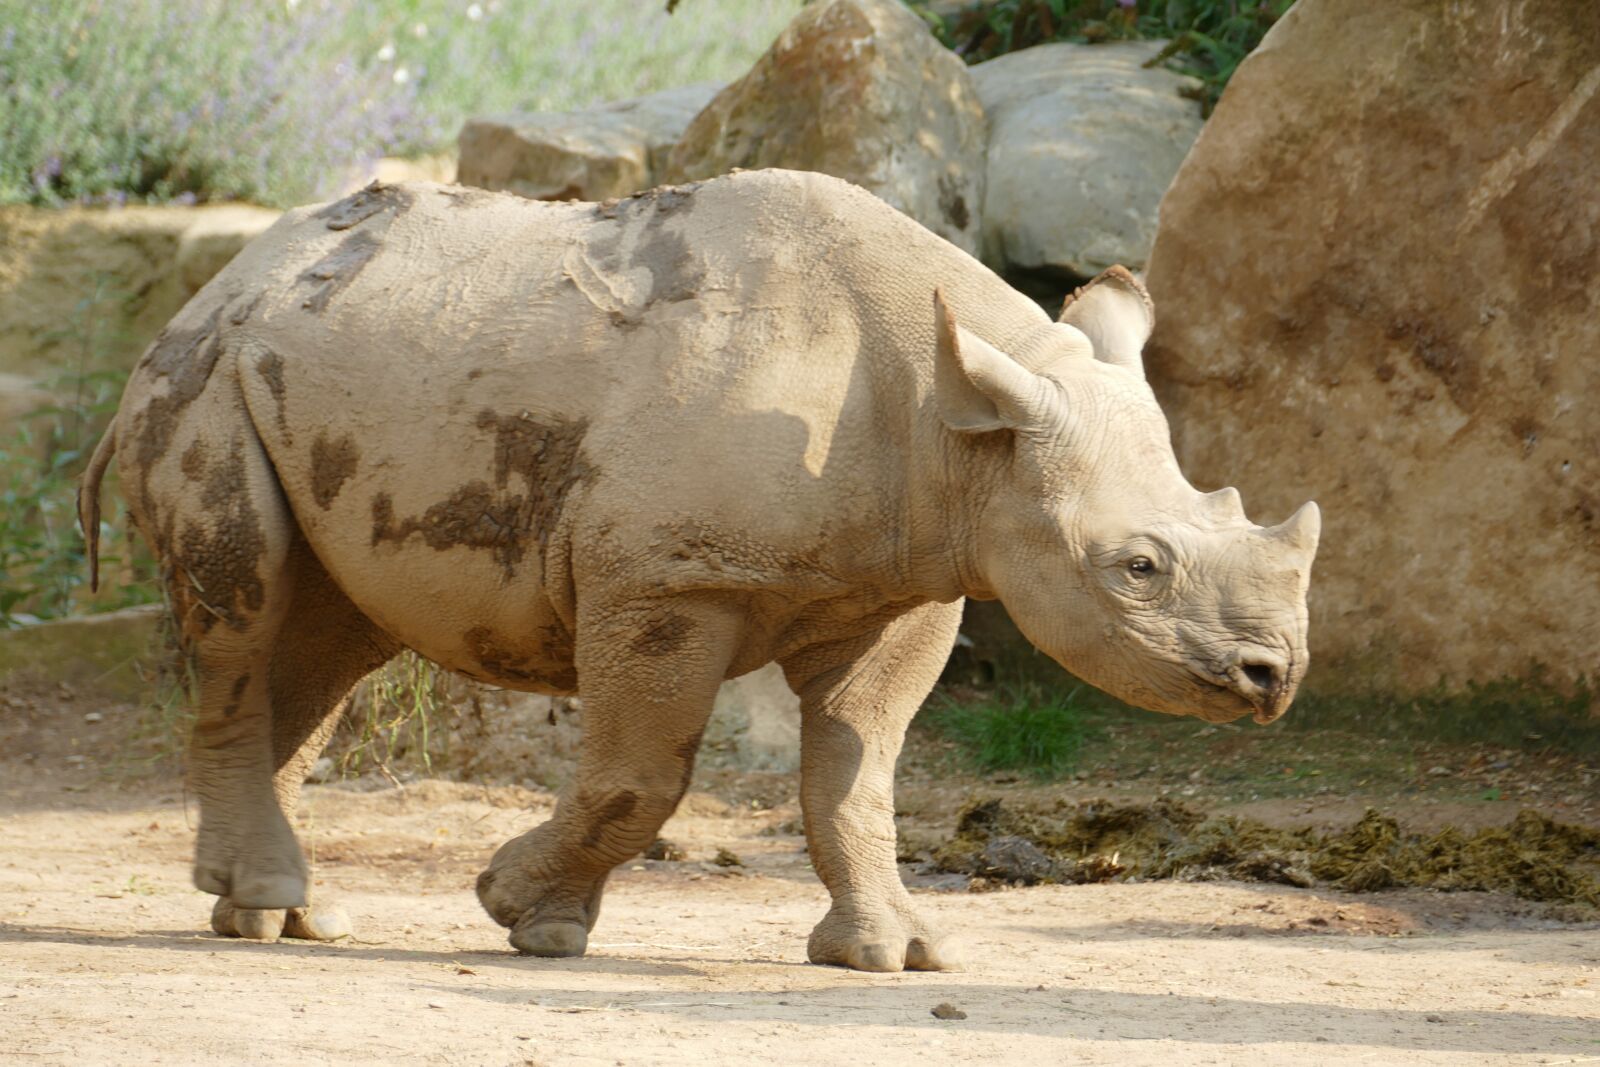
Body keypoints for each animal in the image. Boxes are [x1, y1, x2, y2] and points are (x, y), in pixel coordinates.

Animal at [79, 169, 1319, 971]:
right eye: (1138, 566)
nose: (1274, 675)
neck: (962, 433)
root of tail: (213, 286)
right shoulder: (668, 576)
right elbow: (645, 771)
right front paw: (523, 915)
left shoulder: (912, 579)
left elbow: (856, 774)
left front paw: (895, 953)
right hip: (208, 383)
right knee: (248, 610)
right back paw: (274, 901)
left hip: (303, 367)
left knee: (330, 637)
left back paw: (274, 914)